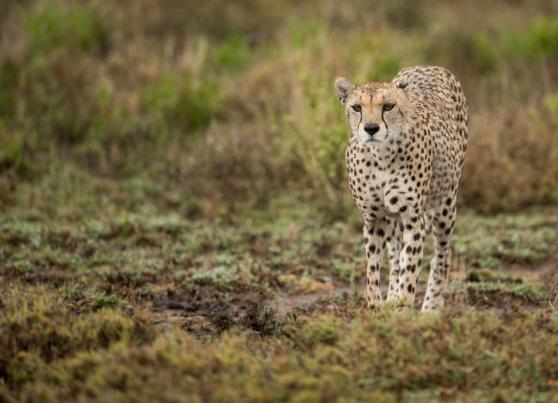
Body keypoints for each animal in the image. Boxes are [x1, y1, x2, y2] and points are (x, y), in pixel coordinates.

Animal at [336, 65, 468, 312]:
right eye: (357, 107)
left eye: (388, 106)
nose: (371, 128)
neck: (380, 156)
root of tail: (429, 67)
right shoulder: (373, 218)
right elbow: (373, 270)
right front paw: (376, 307)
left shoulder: (413, 218)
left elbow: (411, 271)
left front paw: (403, 310)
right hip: (393, 220)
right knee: (396, 255)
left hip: (445, 205)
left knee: (442, 254)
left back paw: (430, 309)